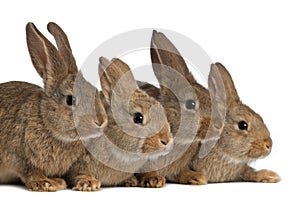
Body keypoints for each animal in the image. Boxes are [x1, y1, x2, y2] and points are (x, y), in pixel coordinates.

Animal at [0, 22, 107, 191]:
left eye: (96, 92)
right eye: (70, 100)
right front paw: (46, 183)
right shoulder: (17, 156)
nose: (101, 121)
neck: (47, 122)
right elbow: (29, 171)